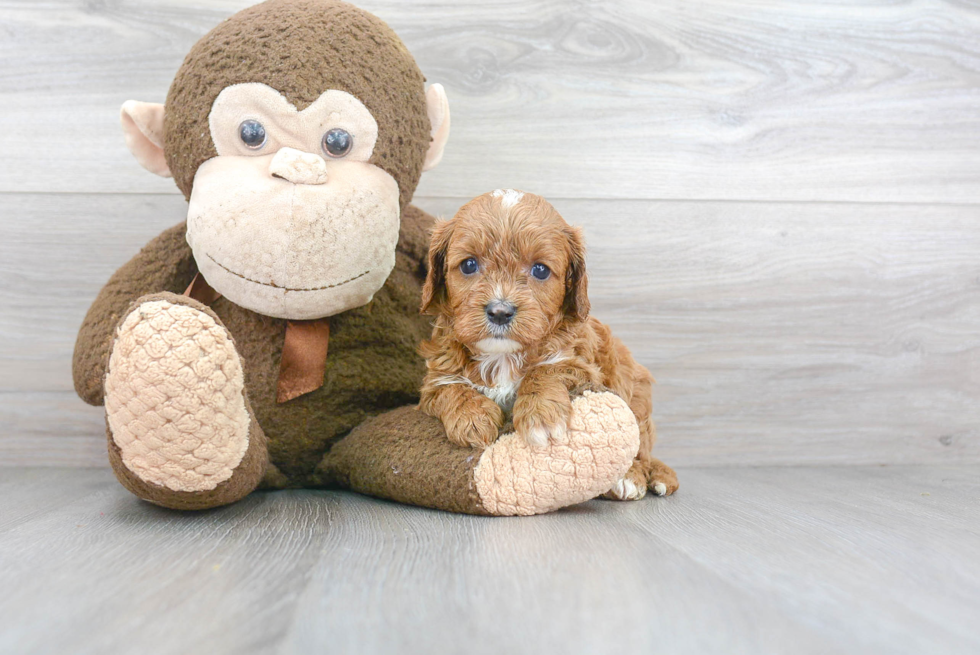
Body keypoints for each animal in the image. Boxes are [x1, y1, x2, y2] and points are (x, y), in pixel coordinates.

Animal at [418, 192, 676, 500]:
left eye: (540, 270)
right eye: (469, 265)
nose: (500, 311)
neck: (502, 356)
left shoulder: (582, 364)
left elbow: (546, 370)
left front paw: (540, 416)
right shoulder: (436, 375)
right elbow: (450, 387)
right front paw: (472, 417)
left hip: (636, 398)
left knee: (642, 449)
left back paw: (635, 477)